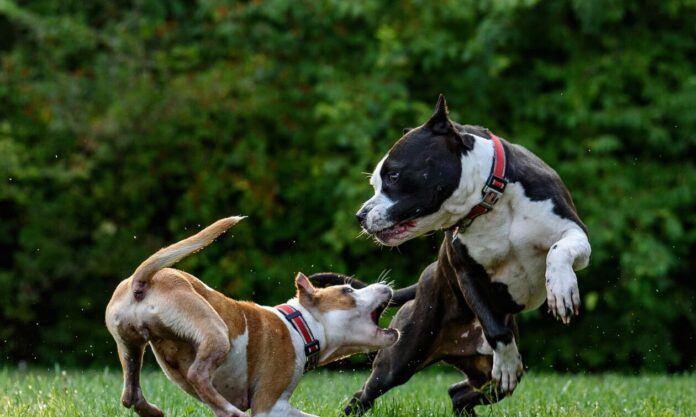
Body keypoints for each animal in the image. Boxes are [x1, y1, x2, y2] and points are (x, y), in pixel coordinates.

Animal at [105, 216, 399, 417]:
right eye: (348, 290)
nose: (386, 286)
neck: (300, 326)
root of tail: (141, 282)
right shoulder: (269, 406)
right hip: (215, 330)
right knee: (197, 374)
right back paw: (230, 411)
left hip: (130, 346)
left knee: (130, 394)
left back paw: (154, 410)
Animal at [340, 95, 591, 415]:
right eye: (375, 183)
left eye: (393, 175)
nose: (360, 215)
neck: (490, 199)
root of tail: (425, 277)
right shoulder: (467, 274)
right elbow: (496, 330)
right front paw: (506, 361)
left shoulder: (574, 232)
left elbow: (559, 251)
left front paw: (561, 289)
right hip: (400, 359)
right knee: (365, 394)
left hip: (483, 377)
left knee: (459, 392)